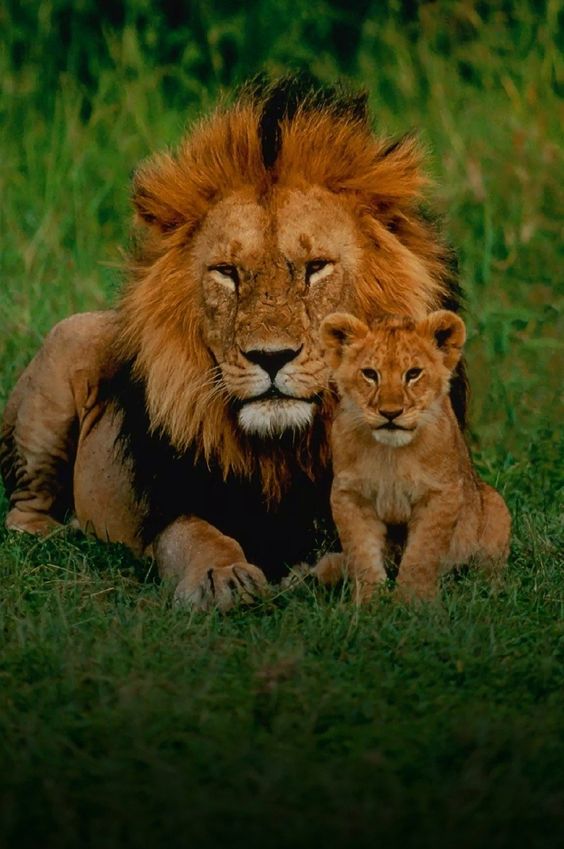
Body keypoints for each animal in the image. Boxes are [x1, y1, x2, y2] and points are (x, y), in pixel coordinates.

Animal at [0, 77, 467, 610]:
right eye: (227, 272)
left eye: (316, 268)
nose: (271, 357)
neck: (283, 448)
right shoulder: (174, 501)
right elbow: (197, 535)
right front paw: (221, 578)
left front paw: (325, 573)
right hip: (62, 356)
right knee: (24, 509)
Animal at [312, 310, 511, 601]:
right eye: (370, 374)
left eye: (414, 374)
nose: (390, 413)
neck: (391, 453)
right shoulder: (349, 495)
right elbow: (362, 553)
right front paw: (369, 602)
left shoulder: (441, 493)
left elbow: (422, 553)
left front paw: (412, 602)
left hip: (495, 507)